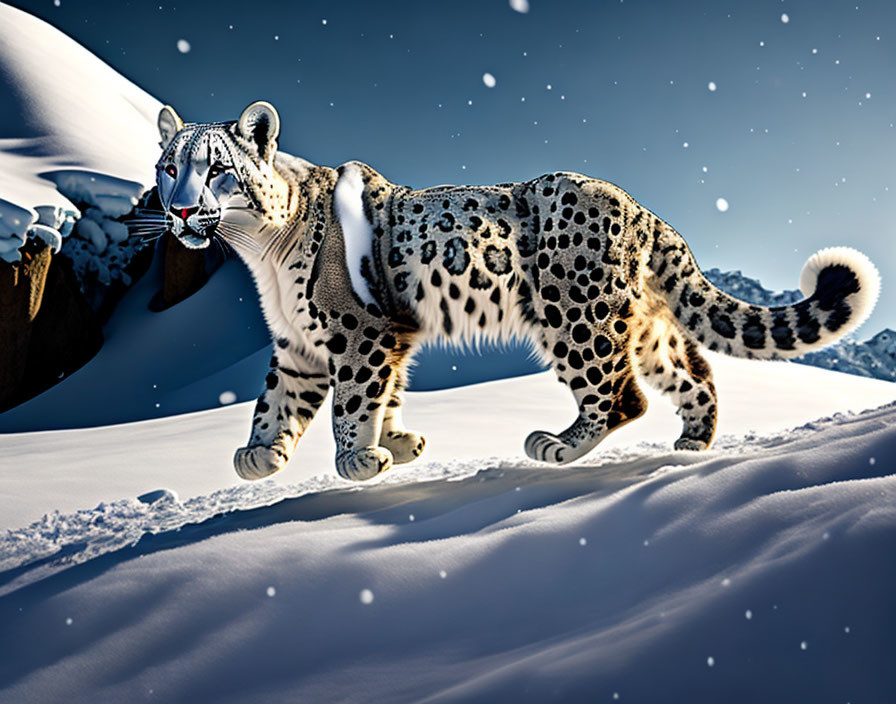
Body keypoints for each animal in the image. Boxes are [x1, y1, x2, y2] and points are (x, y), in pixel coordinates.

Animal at [147, 102, 880, 482]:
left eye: (219, 170)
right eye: (168, 167)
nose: (179, 210)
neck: (262, 256)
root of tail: (641, 208)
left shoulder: (359, 333)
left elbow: (354, 400)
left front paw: (361, 456)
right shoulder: (300, 344)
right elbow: (278, 401)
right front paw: (264, 454)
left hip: (573, 315)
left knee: (623, 395)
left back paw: (554, 445)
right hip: (644, 323)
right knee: (691, 375)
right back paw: (691, 447)